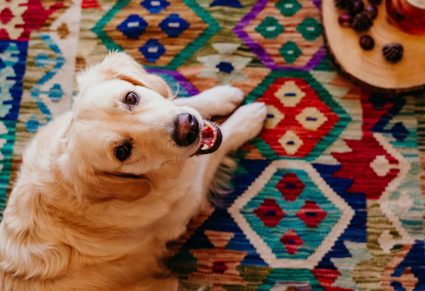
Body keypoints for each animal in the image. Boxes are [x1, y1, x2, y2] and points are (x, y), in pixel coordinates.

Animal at [0, 53, 264, 291]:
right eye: (123, 151)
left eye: (131, 97)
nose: (187, 127)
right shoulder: (186, 203)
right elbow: (216, 148)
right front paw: (248, 118)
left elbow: (183, 100)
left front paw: (222, 95)